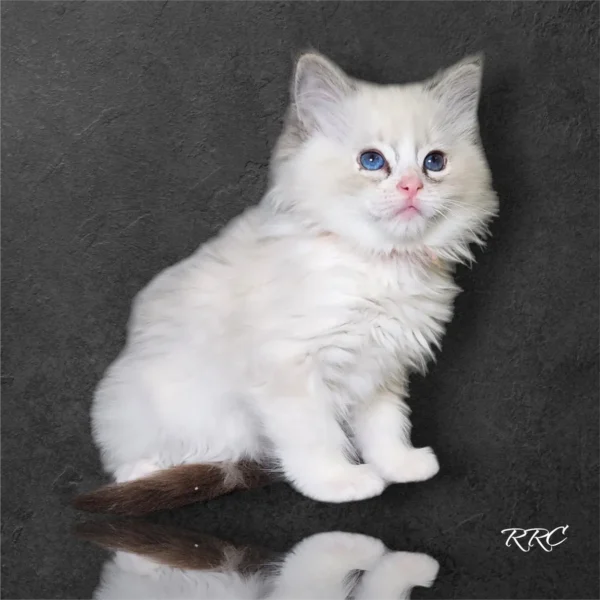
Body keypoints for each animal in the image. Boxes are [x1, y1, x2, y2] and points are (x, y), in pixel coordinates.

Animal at [74, 50, 496, 516]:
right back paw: (146, 470)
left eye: (434, 162)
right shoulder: (292, 369)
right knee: (134, 458)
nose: (412, 187)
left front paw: (399, 465)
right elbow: (316, 437)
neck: (378, 263)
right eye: (372, 161)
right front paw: (340, 482)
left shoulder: (381, 369)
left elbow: (386, 427)